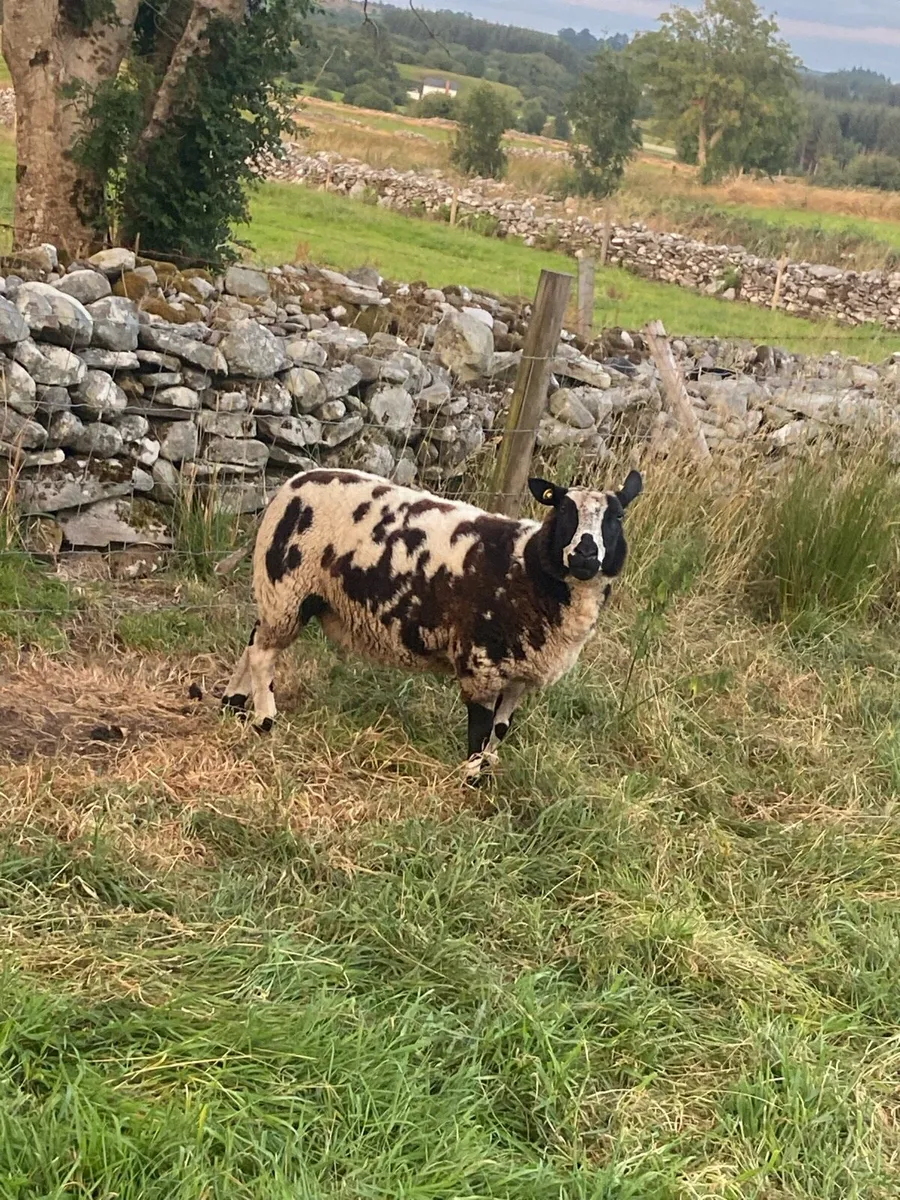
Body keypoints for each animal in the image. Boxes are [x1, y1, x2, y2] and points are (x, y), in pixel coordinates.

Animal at [222, 466, 643, 783]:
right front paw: (471, 777)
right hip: (288, 588)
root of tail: (292, 484)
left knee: (253, 640)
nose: (586, 553)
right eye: (565, 511)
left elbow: (501, 727)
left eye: (618, 517)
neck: (529, 568)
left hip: (281, 594)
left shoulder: (520, 675)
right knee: (263, 653)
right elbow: (481, 726)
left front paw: (488, 767)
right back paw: (264, 717)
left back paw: (233, 701)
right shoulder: (481, 662)